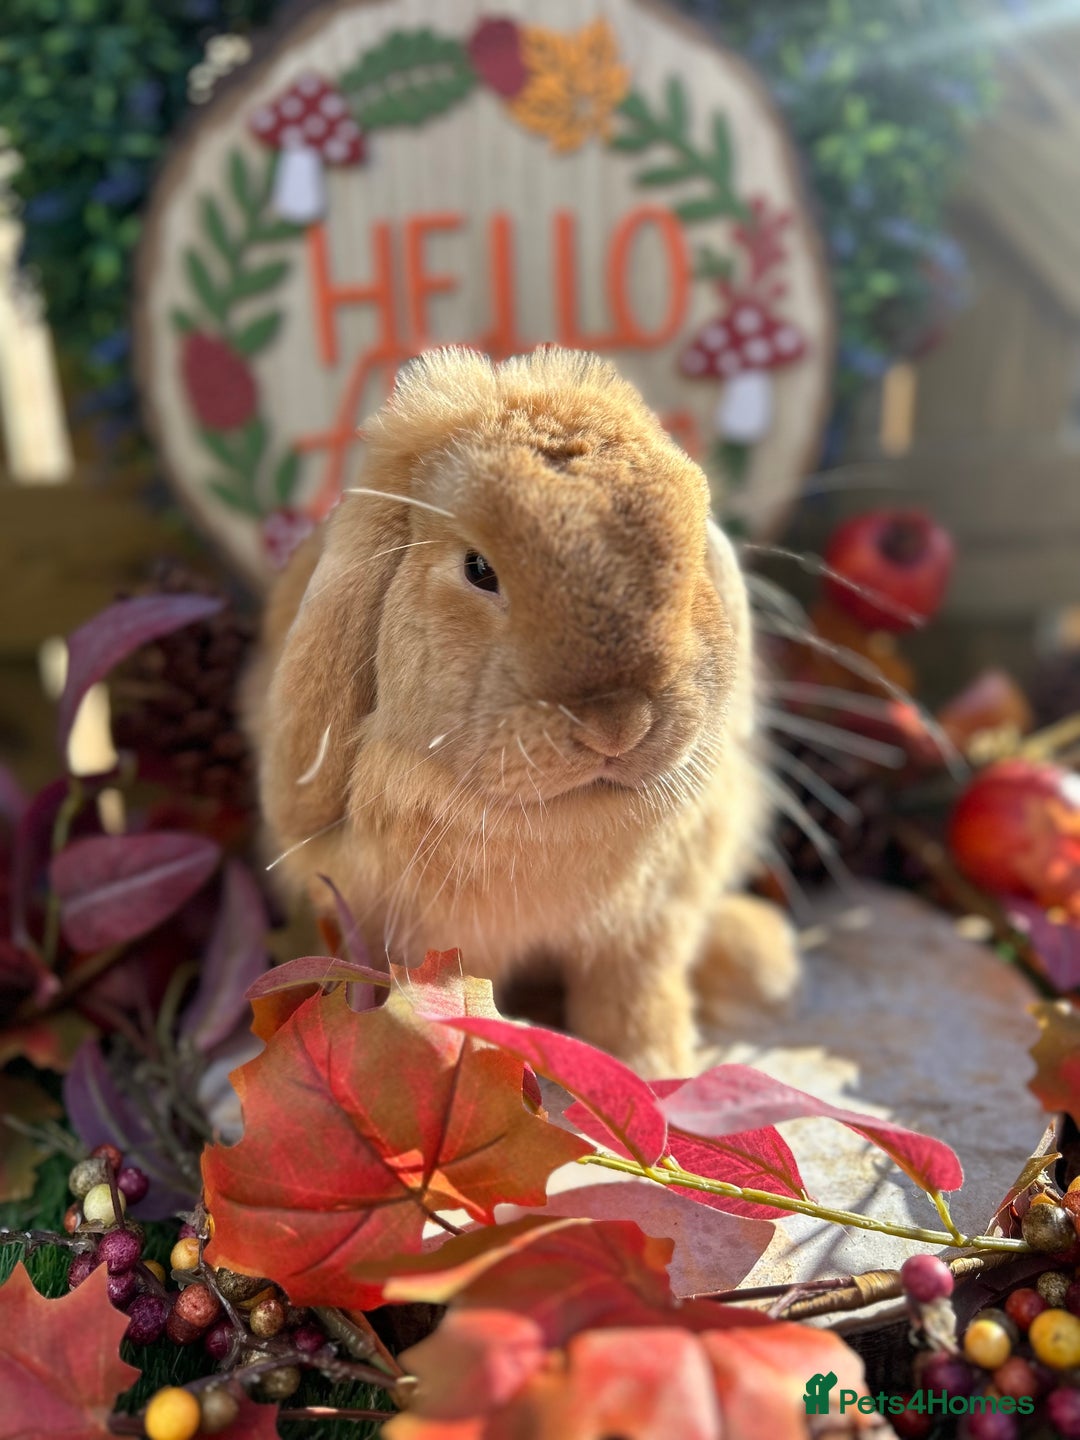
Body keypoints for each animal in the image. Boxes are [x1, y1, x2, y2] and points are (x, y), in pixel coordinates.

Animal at [244, 346, 799, 1077]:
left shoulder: (644, 936)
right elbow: (465, 1010)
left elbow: (637, 1005)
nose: (619, 724)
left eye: (686, 563)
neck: (558, 820)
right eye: (479, 568)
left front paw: (657, 1074)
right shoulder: (436, 942)